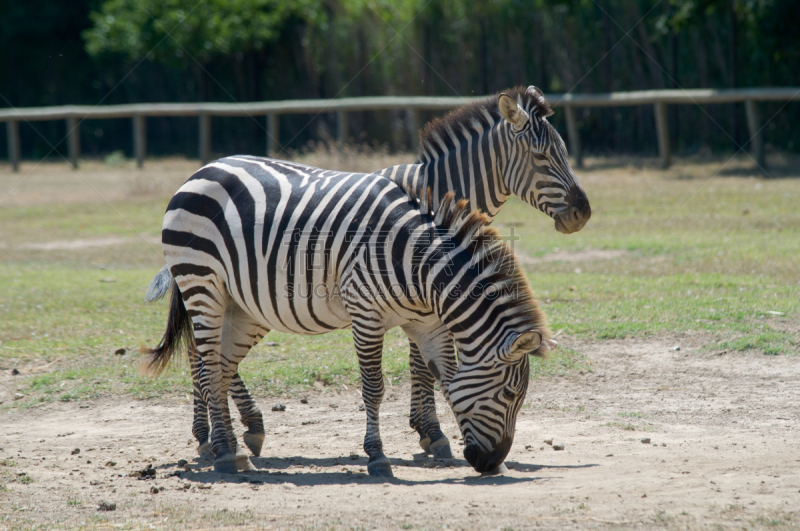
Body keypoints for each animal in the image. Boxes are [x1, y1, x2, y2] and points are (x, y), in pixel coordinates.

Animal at [145, 155, 556, 478]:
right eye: (509, 393)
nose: (489, 463)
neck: (419, 267)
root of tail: (205, 168)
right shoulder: (366, 314)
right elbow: (374, 388)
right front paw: (377, 457)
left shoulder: (430, 326)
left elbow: (446, 381)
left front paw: (438, 439)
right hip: (202, 284)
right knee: (207, 367)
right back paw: (221, 452)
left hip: (241, 305)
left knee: (220, 369)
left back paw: (233, 445)